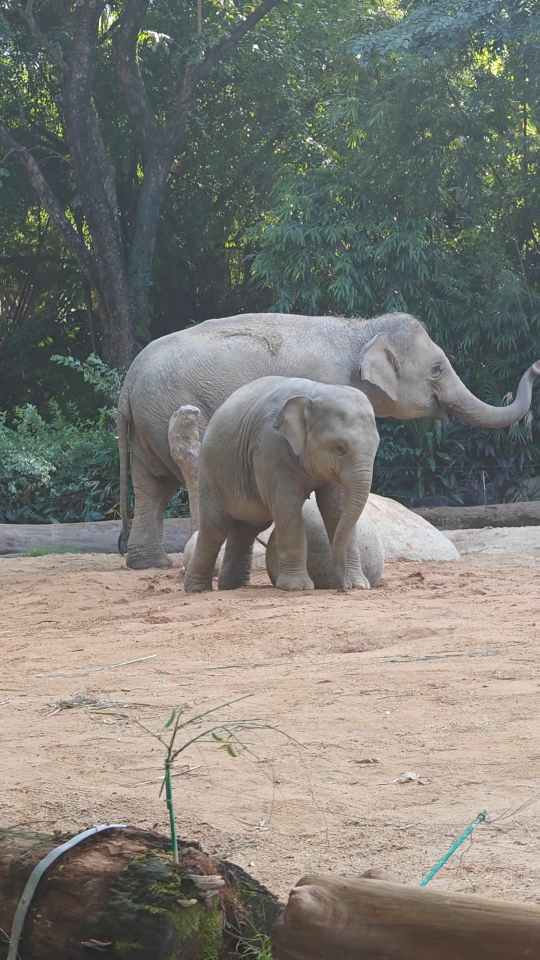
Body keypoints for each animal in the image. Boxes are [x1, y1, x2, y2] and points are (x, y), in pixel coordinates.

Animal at [115, 312, 540, 568]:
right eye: (436, 369)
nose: (535, 367)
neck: (361, 331)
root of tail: (127, 382)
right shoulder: (329, 388)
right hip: (170, 406)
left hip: (146, 423)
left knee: (152, 485)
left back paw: (149, 564)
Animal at [186, 376, 380, 592]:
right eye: (339, 448)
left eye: (377, 447)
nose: (340, 587)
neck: (316, 392)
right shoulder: (269, 446)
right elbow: (286, 504)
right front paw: (297, 587)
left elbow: (335, 507)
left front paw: (358, 585)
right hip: (210, 472)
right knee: (215, 529)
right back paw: (197, 589)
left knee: (246, 529)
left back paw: (232, 587)